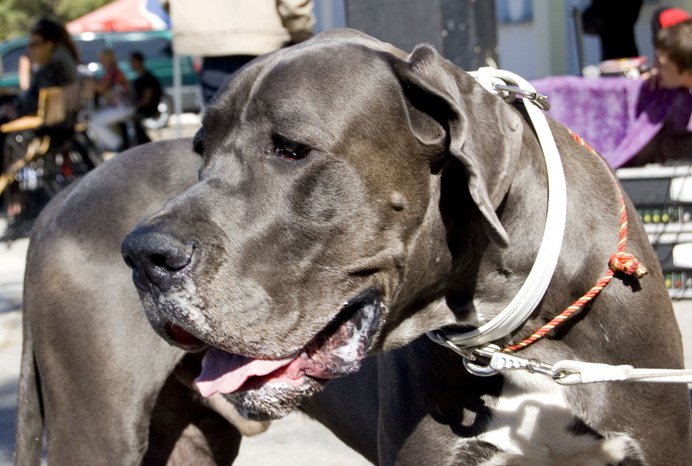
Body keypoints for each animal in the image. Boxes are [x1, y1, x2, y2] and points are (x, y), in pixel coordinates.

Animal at [19, 28, 691, 464]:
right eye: (201, 151)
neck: (523, 340)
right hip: (99, 430)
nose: (143, 256)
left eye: (291, 148)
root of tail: (54, 203)